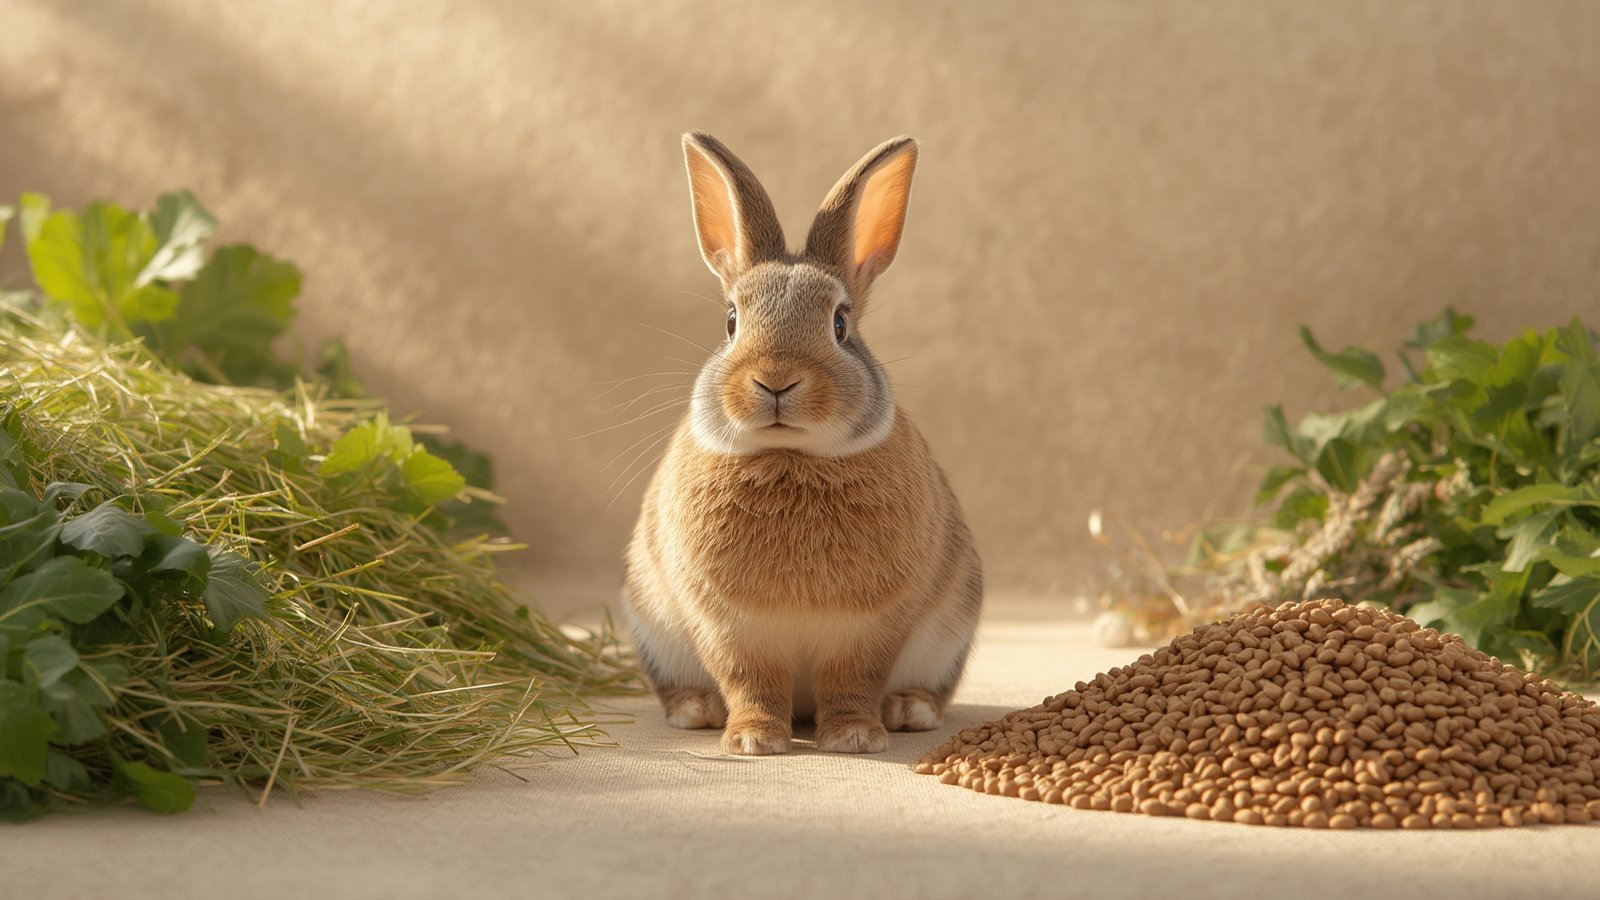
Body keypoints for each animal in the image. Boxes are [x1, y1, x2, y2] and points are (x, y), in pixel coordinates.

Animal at [621, 132, 983, 755]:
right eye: (731, 321)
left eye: (840, 324)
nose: (776, 381)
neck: (791, 456)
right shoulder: (731, 627)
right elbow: (752, 682)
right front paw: (753, 742)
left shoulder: (869, 629)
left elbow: (852, 681)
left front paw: (856, 738)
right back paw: (696, 710)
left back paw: (909, 711)